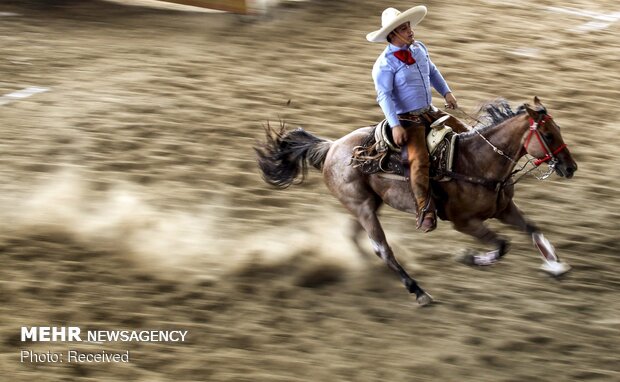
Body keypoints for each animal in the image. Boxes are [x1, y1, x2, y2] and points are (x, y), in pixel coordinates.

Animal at [254, 97, 580, 306]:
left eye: (558, 130)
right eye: (548, 134)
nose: (571, 168)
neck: (477, 162)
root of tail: (331, 147)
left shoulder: (504, 209)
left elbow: (533, 230)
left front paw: (555, 266)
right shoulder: (465, 222)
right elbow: (502, 245)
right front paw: (468, 258)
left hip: (368, 204)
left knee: (357, 238)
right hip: (363, 207)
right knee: (383, 249)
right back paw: (418, 291)